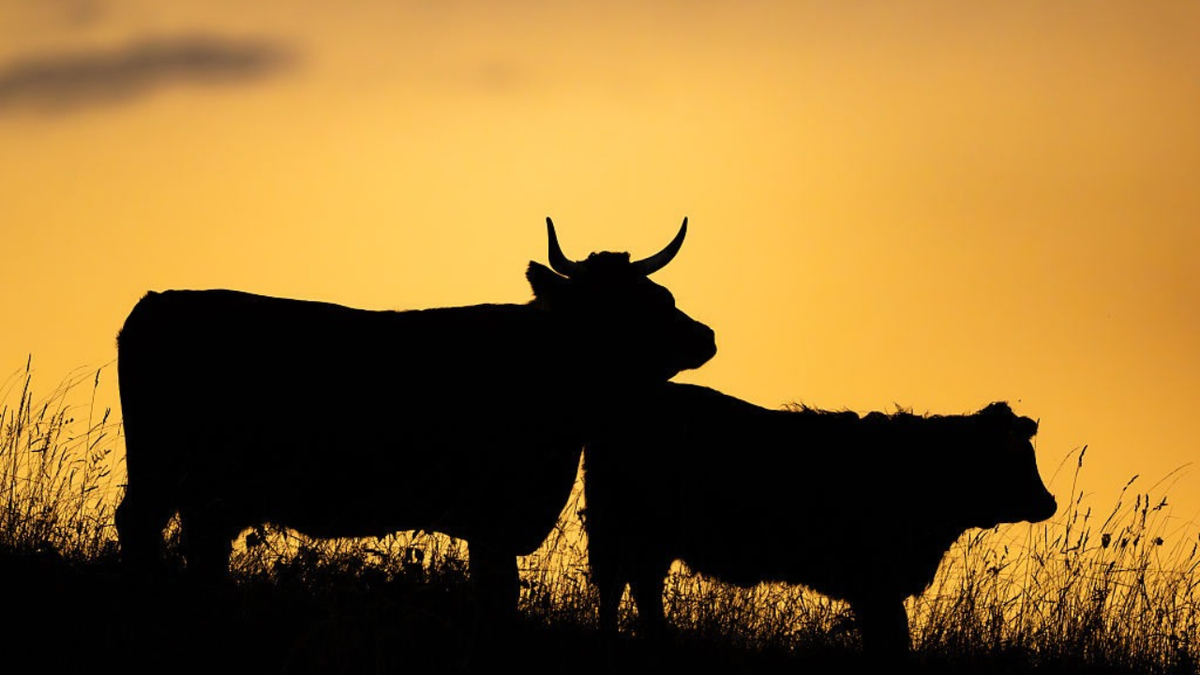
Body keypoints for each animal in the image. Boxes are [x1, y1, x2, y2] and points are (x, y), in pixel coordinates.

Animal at [114, 217, 717, 623]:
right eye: (642, 304)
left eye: (655, 295)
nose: (705, 336)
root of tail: (157, 300)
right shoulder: (492, 517)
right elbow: (498, 594)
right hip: (163, 470)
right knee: (142, 526)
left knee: (198, 543)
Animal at [582, 383, 1057, 658]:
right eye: (1016, 458)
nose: (1049, 502)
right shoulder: (875, 583)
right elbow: (890, 640)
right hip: (635, 530)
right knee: (630, 584)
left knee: (626, 584)